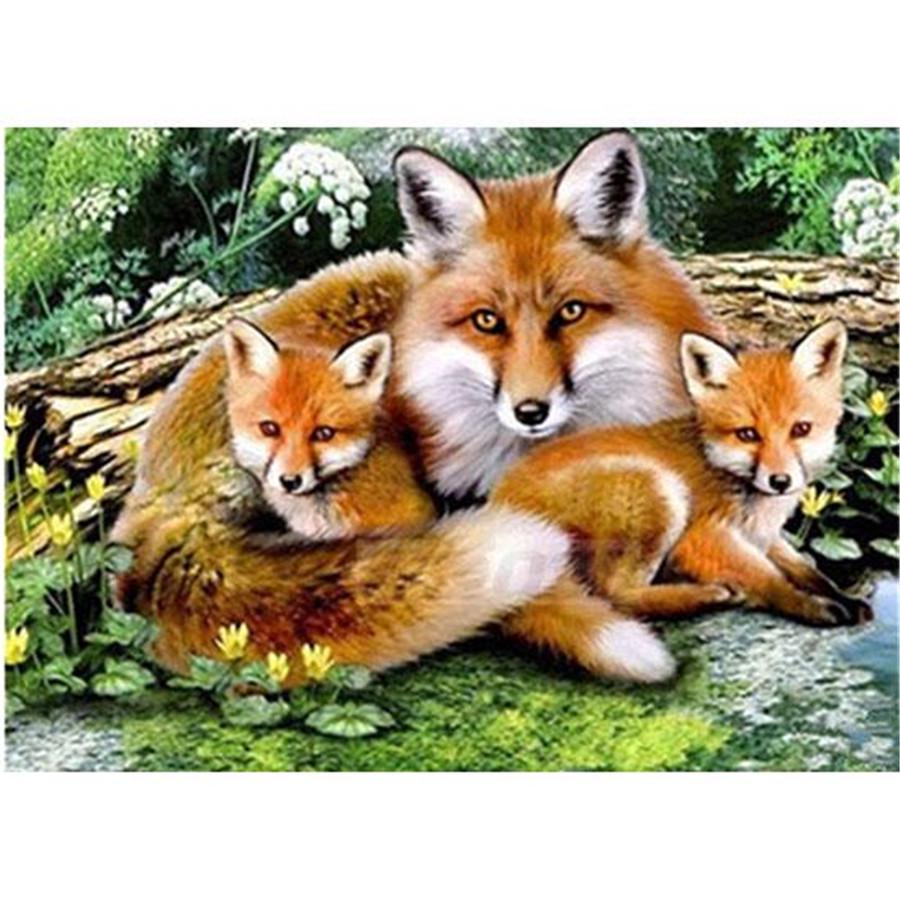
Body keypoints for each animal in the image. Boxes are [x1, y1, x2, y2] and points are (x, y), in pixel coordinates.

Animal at [492, 320, 873, 628]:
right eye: (748, 434)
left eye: (801, 429)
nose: (780, 481)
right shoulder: (701, 537)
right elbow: (770, 579)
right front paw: (809, 605)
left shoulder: (763, 536)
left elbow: (807, 570)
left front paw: (842, 596)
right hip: (658, 492)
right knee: (615, 596)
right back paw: (706, 595)